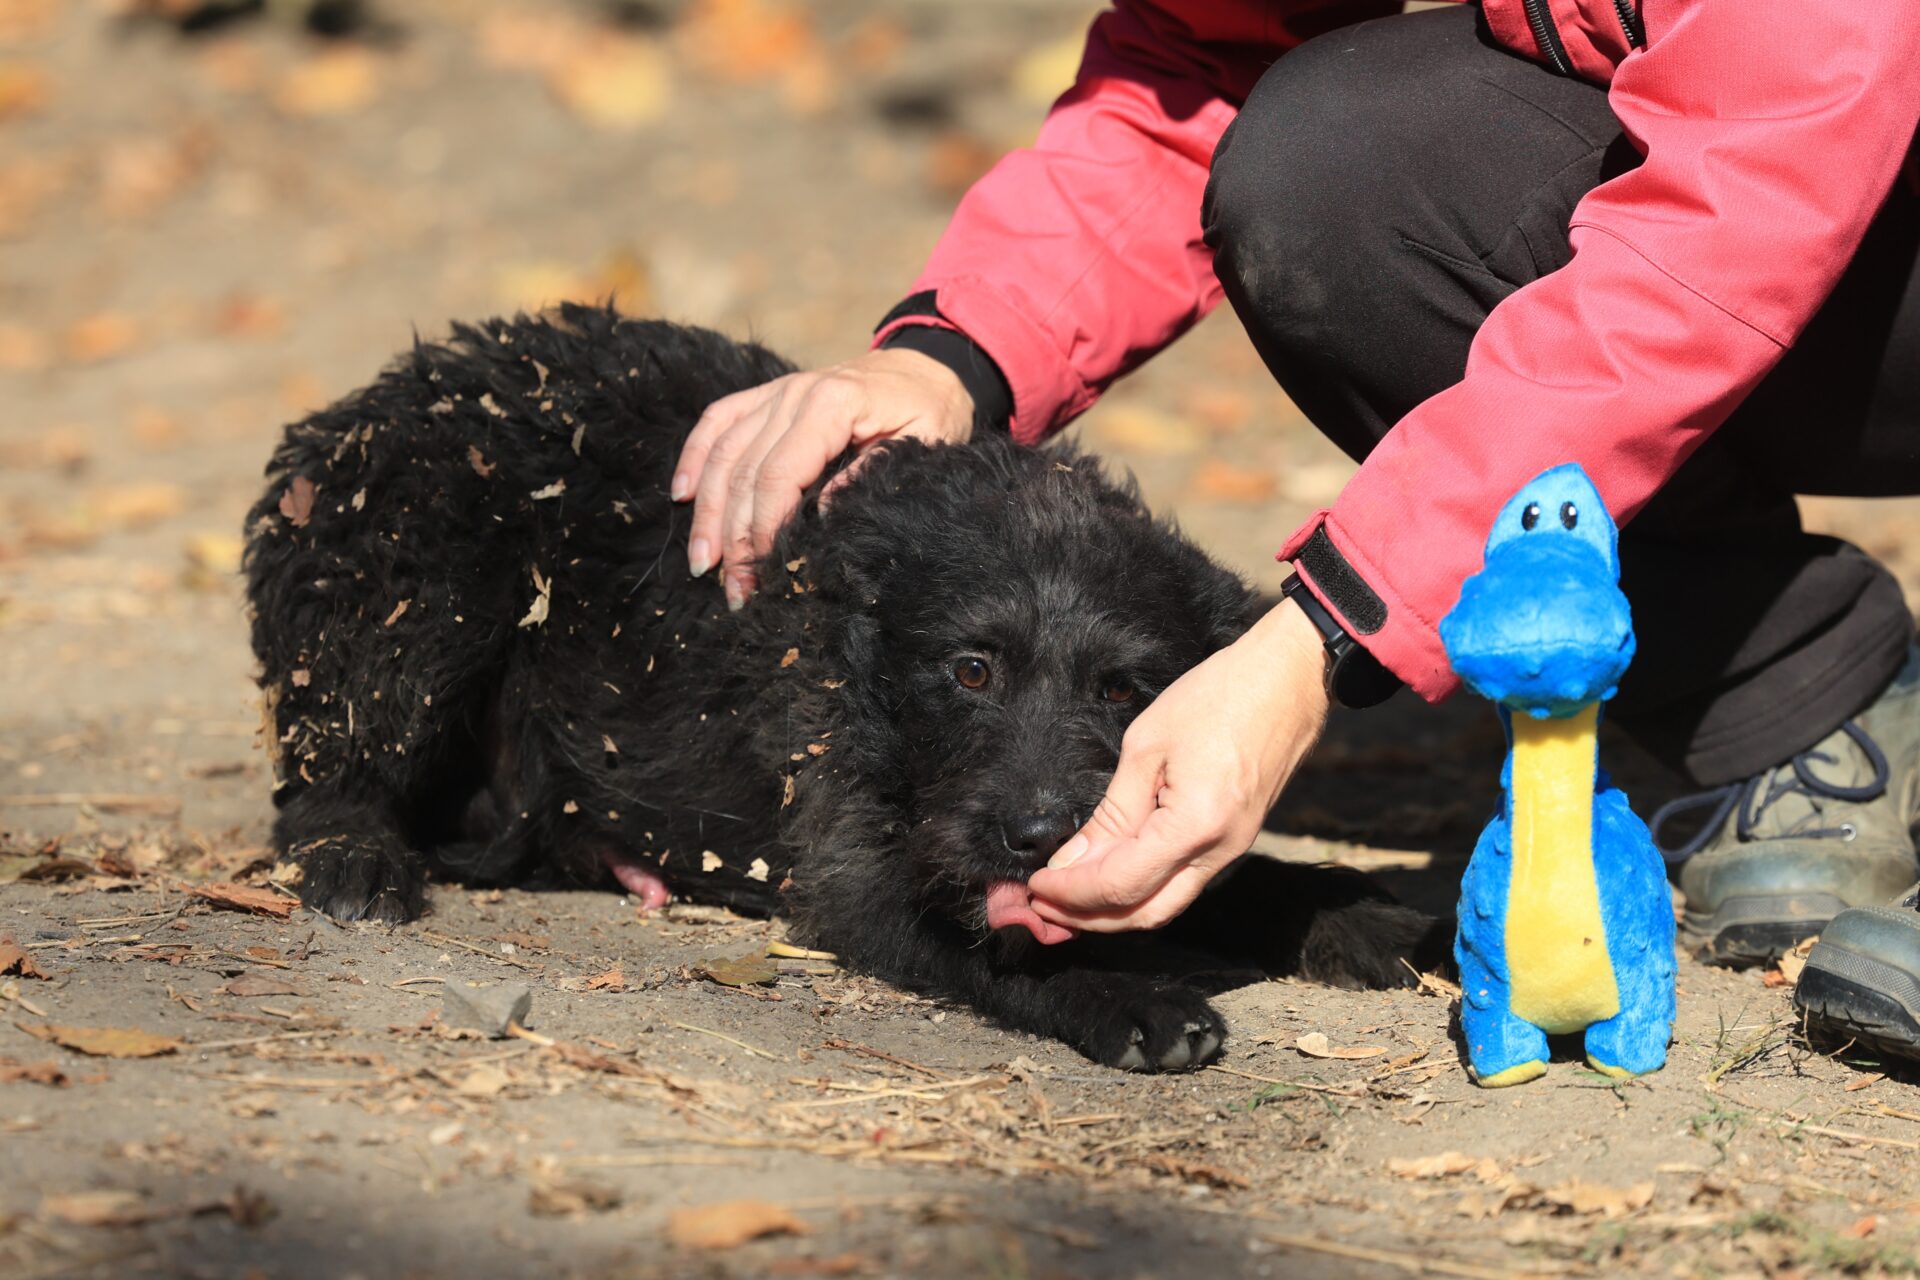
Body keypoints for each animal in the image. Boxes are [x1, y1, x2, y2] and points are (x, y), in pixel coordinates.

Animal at [244, 305, 1445, 1071]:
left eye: (1124, 690)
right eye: (971, 670)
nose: (1037, 835)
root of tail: (374, 397)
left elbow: (1240, 870)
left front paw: (1363, 914)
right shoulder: (854, 879)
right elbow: (987, 944)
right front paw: (1129, 996)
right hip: (423, 589)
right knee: (322, 779)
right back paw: (355, 858)